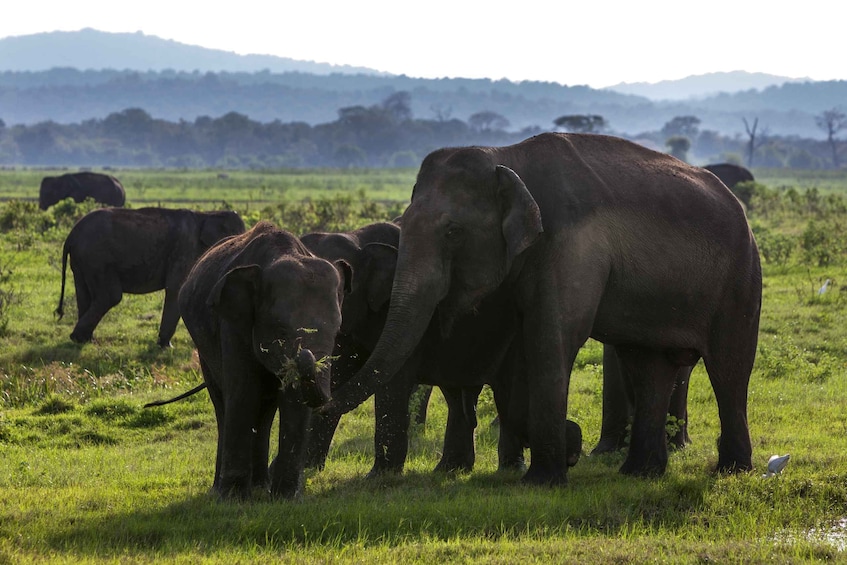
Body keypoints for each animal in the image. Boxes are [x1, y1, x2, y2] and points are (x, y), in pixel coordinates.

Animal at [56, 205, 245, 346]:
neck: (207, 214)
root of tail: (71, 235)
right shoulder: (185, 248)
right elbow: (176, 288)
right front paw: (165, 346)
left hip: (82, 261)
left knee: (85, 295)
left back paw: (84, 340)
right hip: (97, 258)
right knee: (110, 296)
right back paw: (80, 338)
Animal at [179, 220, 352, 498]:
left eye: (337, 332)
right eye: (280, 331)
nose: (304, 354)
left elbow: (292, 399)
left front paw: (285, 497)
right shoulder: (233, 322)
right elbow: (244, 391)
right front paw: (233, 498)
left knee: (266, 409)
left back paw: (261, 485)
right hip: (204, 348)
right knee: (223, 401)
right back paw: (220, 489)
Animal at [322, 133, 764, 484]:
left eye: (453, 231)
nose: (575, 441)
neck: (507, 157)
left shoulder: (572, 242)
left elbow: (552, 335)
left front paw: (543, 480)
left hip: (741, 276)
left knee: (729, 367)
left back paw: (732, 472)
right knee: (648, 366)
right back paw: (639, 473)